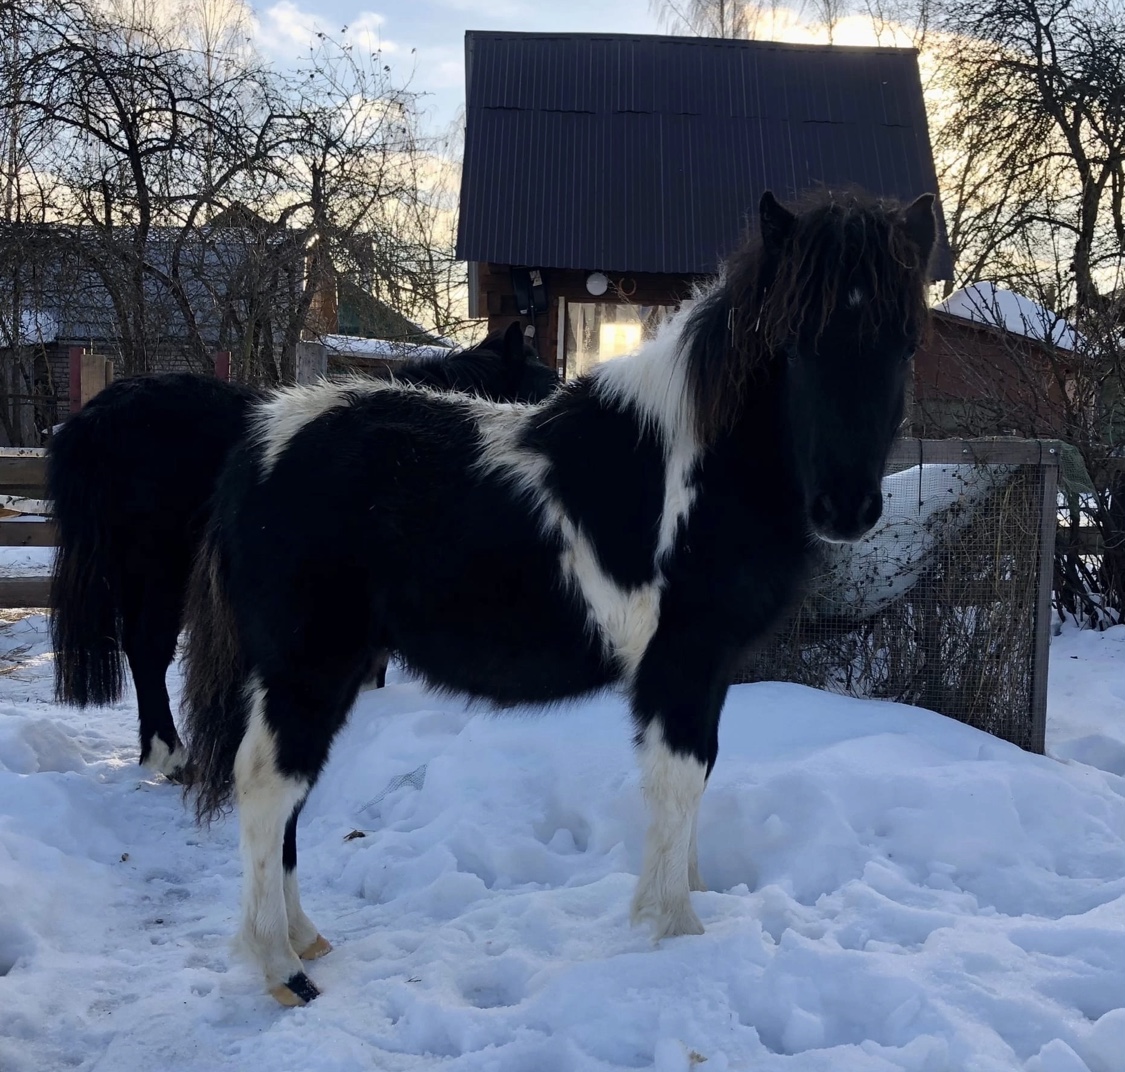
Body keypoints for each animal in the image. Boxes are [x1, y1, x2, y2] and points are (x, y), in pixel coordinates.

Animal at [181, 189, 936, 1006]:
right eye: (794, 343)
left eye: (905, 345)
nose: (847, 508)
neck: (697, 470)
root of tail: (257, 447)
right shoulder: (680, 664)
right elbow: (679, 781)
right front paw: (675, 930)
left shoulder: (708, 673)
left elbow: (698, 777)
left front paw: (688, 896)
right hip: (308, 666)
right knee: (266, 783)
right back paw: (281, 967)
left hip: (329, 669)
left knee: (288, 790)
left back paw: (303, 939)